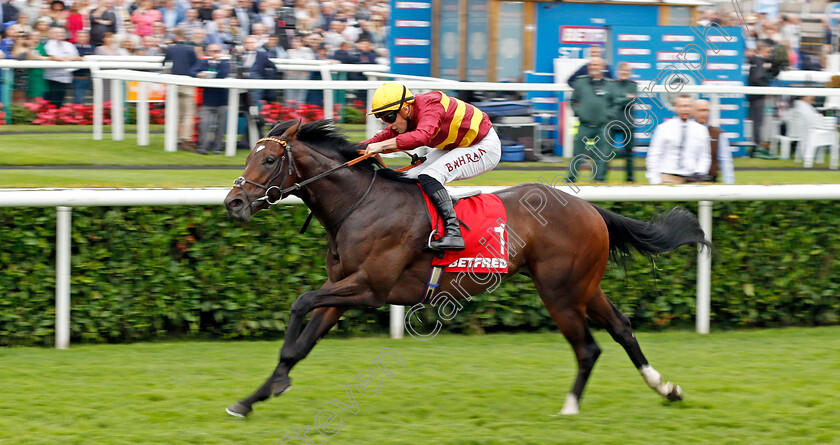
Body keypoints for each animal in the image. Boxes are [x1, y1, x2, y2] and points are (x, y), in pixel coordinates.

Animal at [223, 119, 708, 416]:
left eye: (269, 160)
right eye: (250, 156)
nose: (234, 202)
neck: (360, 205)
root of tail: (589, 208)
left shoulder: (369, 287)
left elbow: (300, 302)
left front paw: (273, 385)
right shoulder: (343, 288)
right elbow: (301, 344)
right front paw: (253, 397)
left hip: (560, 291)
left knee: (588, 347)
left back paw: (570, 407)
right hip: (585, 286)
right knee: (622, 328)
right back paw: (666, 388)